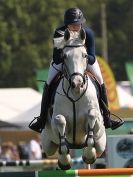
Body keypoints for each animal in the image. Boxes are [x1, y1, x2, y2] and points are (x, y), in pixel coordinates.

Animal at [41, 28, 106, 169]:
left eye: (85, 55)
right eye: (64, 56)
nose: (77, 84)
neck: (75, 95)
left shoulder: (97, 120)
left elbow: (92, 115)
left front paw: (89, 154)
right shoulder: (55, 120)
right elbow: (60, 121)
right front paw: (64, 161)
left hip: (101, 142)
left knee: (96, 148)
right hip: (47, 144)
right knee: (53, 148)